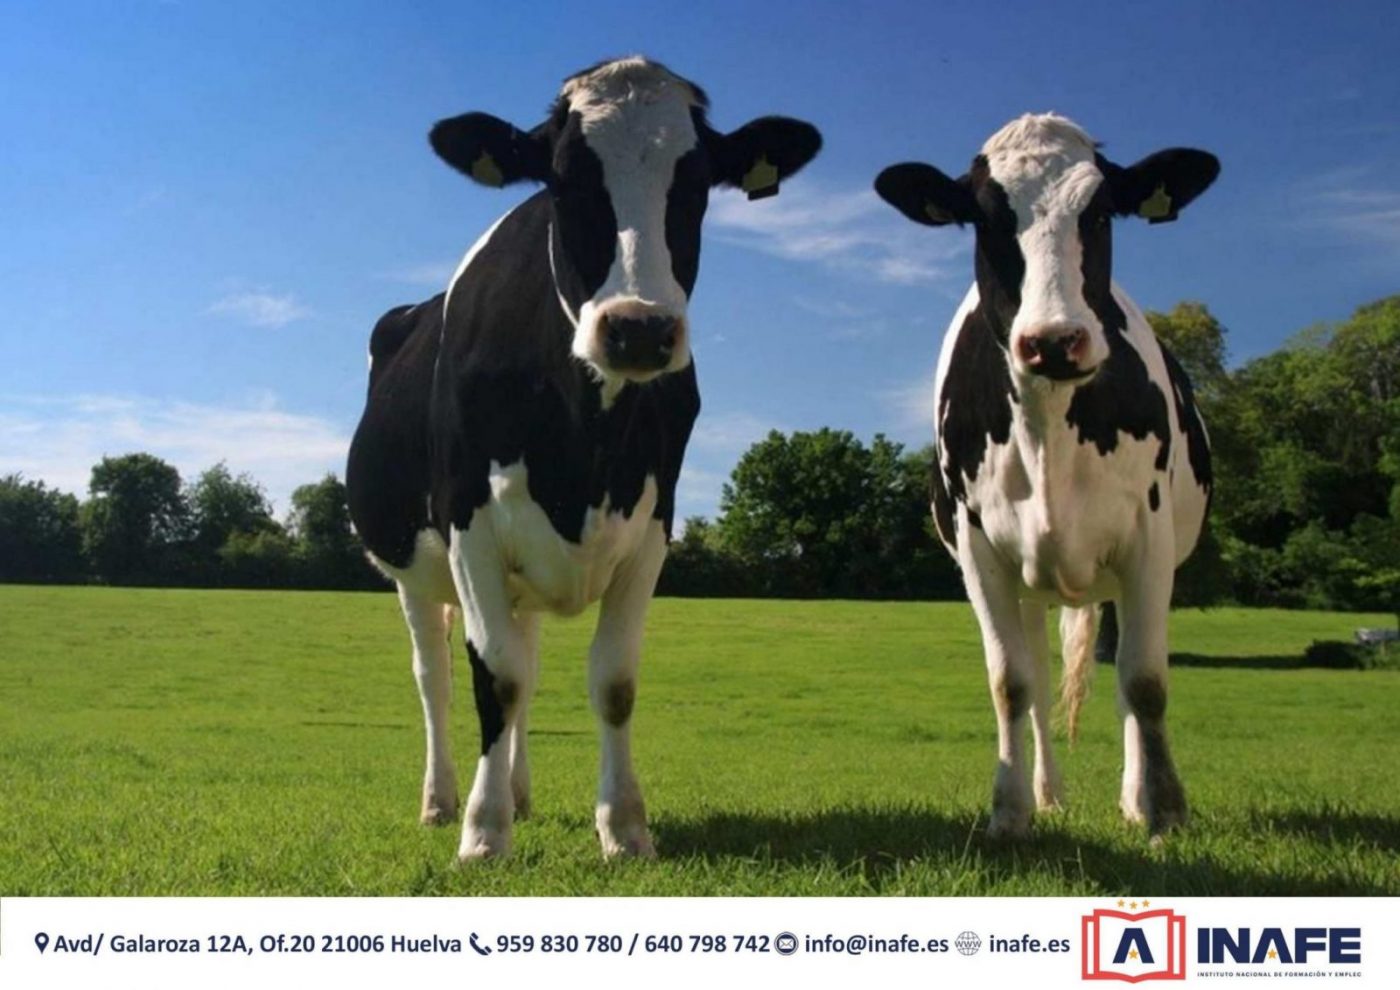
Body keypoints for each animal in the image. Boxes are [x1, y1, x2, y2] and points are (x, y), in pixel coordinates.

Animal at [346, 57, 820, 860]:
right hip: (411, 568)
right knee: (437, 675)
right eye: (564, 180)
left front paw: (624, 827)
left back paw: (519, 792)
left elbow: (611, 682)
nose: (638, 328)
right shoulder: (468, 521)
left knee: (526, 662)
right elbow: (494, 677)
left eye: (696, 184)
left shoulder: (654, 523)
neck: (585, 447)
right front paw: (483, 834)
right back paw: (443, 800)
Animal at [874, 114, 1217, 839]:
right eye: (983, 216)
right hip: (1032, 585)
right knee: (1034, 675)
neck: (1049, 433)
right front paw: (1009, 812)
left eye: (1102, 212)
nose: (1055, 341)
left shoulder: (1149, 541)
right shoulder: (979, 550)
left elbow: (1145, 681)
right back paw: (1049, 794)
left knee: (1122, 678)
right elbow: (1011, 682)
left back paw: (1130, 795)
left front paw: (1164, 809)